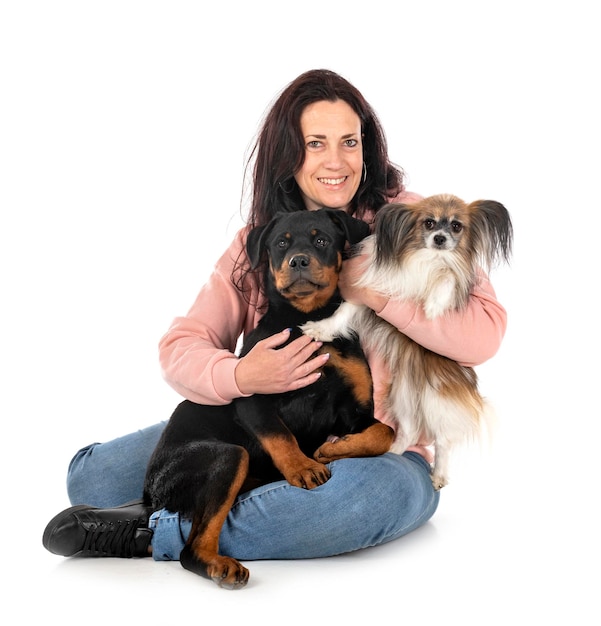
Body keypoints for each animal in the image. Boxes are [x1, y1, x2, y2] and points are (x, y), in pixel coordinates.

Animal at [144, 208, 396, 584]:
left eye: (321, 239)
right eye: (280, 244)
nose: (298, 261)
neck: (309, 322)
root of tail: (149, 491)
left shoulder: (355, 408)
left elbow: (384, 432)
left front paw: (333, 449)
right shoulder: (252, 392)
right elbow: (279, 433)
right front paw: (304, 467)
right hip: (227, 456)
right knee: (191, 547)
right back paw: (220, 565)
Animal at [300, 194, 510, 488]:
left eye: (456, 226)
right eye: (429, 223)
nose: (440, 239)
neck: (428, 259)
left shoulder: (453, 280)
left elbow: (446, 278)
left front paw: (433, 307)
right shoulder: (370, 291)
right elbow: (343, 313)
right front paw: (321, 329)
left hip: (436, 398)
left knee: (443, 440)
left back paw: (438, 475)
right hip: (403, 397)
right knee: (409, 432)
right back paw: (391, 452)